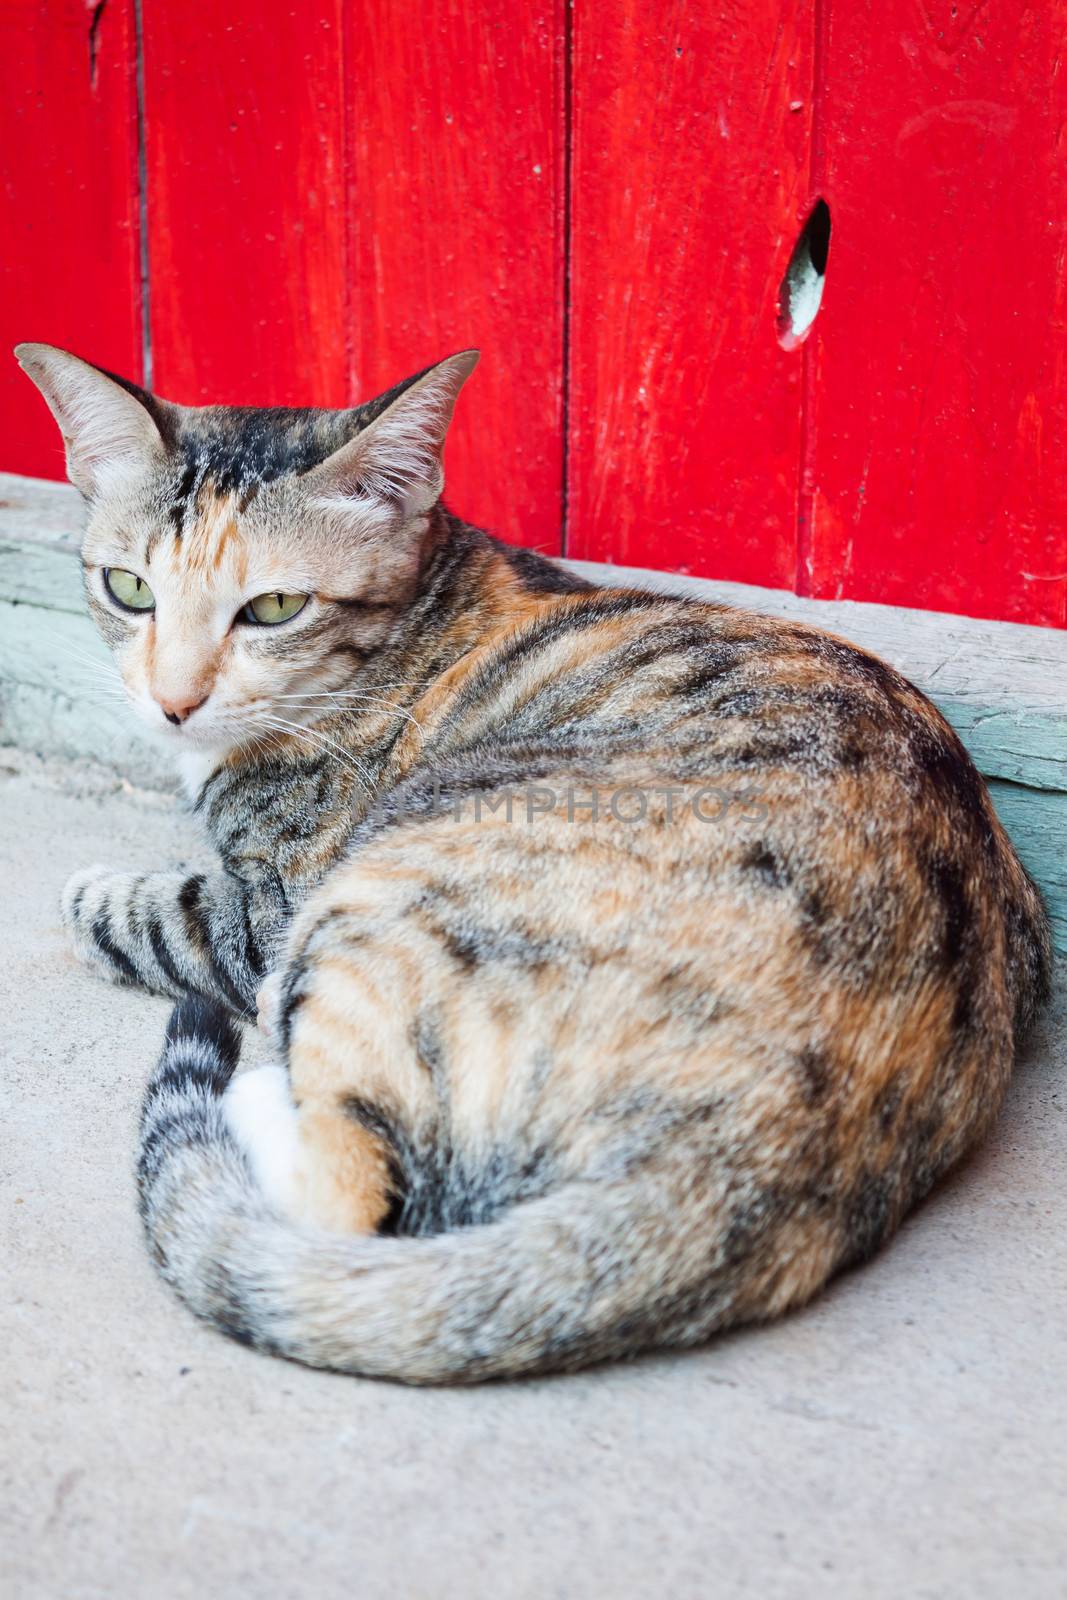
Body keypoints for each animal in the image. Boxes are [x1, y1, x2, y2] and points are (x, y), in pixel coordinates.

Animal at [16, 344, 1049, 1382]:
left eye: (273, 608)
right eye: (129, 589)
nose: (173, 703)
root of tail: (763, 1149)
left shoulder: (269, 908)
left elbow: (148, 911)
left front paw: (95, 893)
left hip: (391, 885)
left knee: (344, 1192)